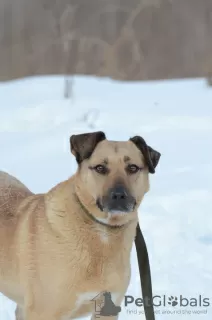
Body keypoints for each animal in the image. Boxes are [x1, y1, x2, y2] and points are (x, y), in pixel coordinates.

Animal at [0, 131, 160, 318]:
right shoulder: (44, 312)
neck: (102, 232)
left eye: (133, 168)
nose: (119, 195)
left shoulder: (107, 309)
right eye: (100, 168)